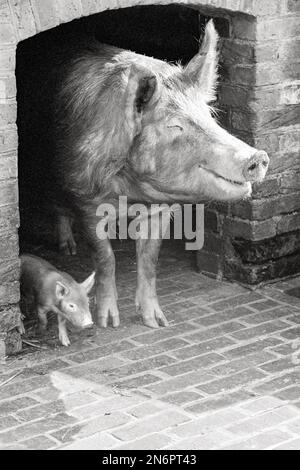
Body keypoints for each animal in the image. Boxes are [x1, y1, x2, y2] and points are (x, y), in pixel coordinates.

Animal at [47, 20, 270, 328]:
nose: (257, 157)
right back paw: (67, 249)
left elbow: (150, 260)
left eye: (209, 116)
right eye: (175, 126)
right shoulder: (86, 199)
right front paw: (109, 323)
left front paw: (158, 323)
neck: (132, 195)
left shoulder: (162, 210)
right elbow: (105, 258)